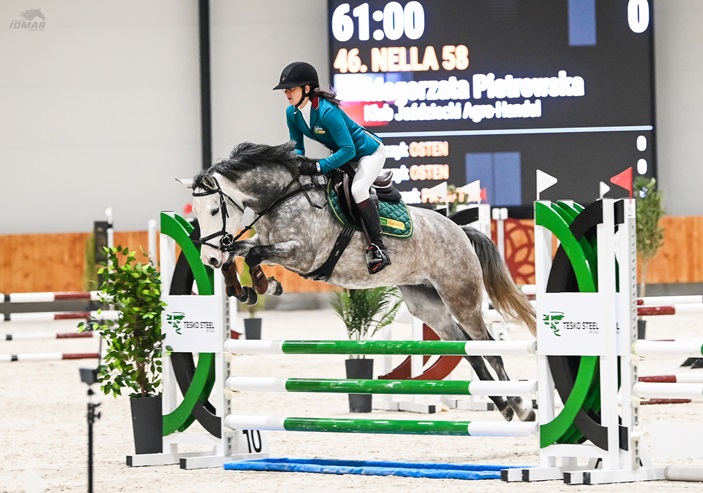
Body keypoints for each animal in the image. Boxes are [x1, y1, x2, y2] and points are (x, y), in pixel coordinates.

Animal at [179, 141, 537, 422]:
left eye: (215, 209)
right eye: (195, 210)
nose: (208, 259)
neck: (283, 197)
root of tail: (459, 231)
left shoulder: (303, 254)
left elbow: (253, 255)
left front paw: (264, 287)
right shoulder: (267, 245)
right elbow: (242, 250)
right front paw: (242, 288)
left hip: (460, 296)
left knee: (487, 347)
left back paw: (521, 407)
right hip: (427, 305)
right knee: (468, 349)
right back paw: (504, 406)